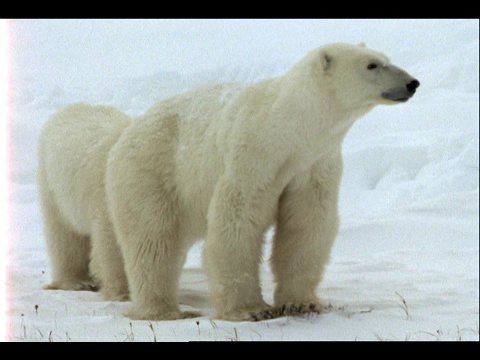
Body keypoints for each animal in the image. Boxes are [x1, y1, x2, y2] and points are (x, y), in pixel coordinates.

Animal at [38, 104, 131, 300]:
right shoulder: (109, 194)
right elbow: (112, 238)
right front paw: (121, 292)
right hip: (54, 188)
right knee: (65, 236)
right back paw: (77, 281)